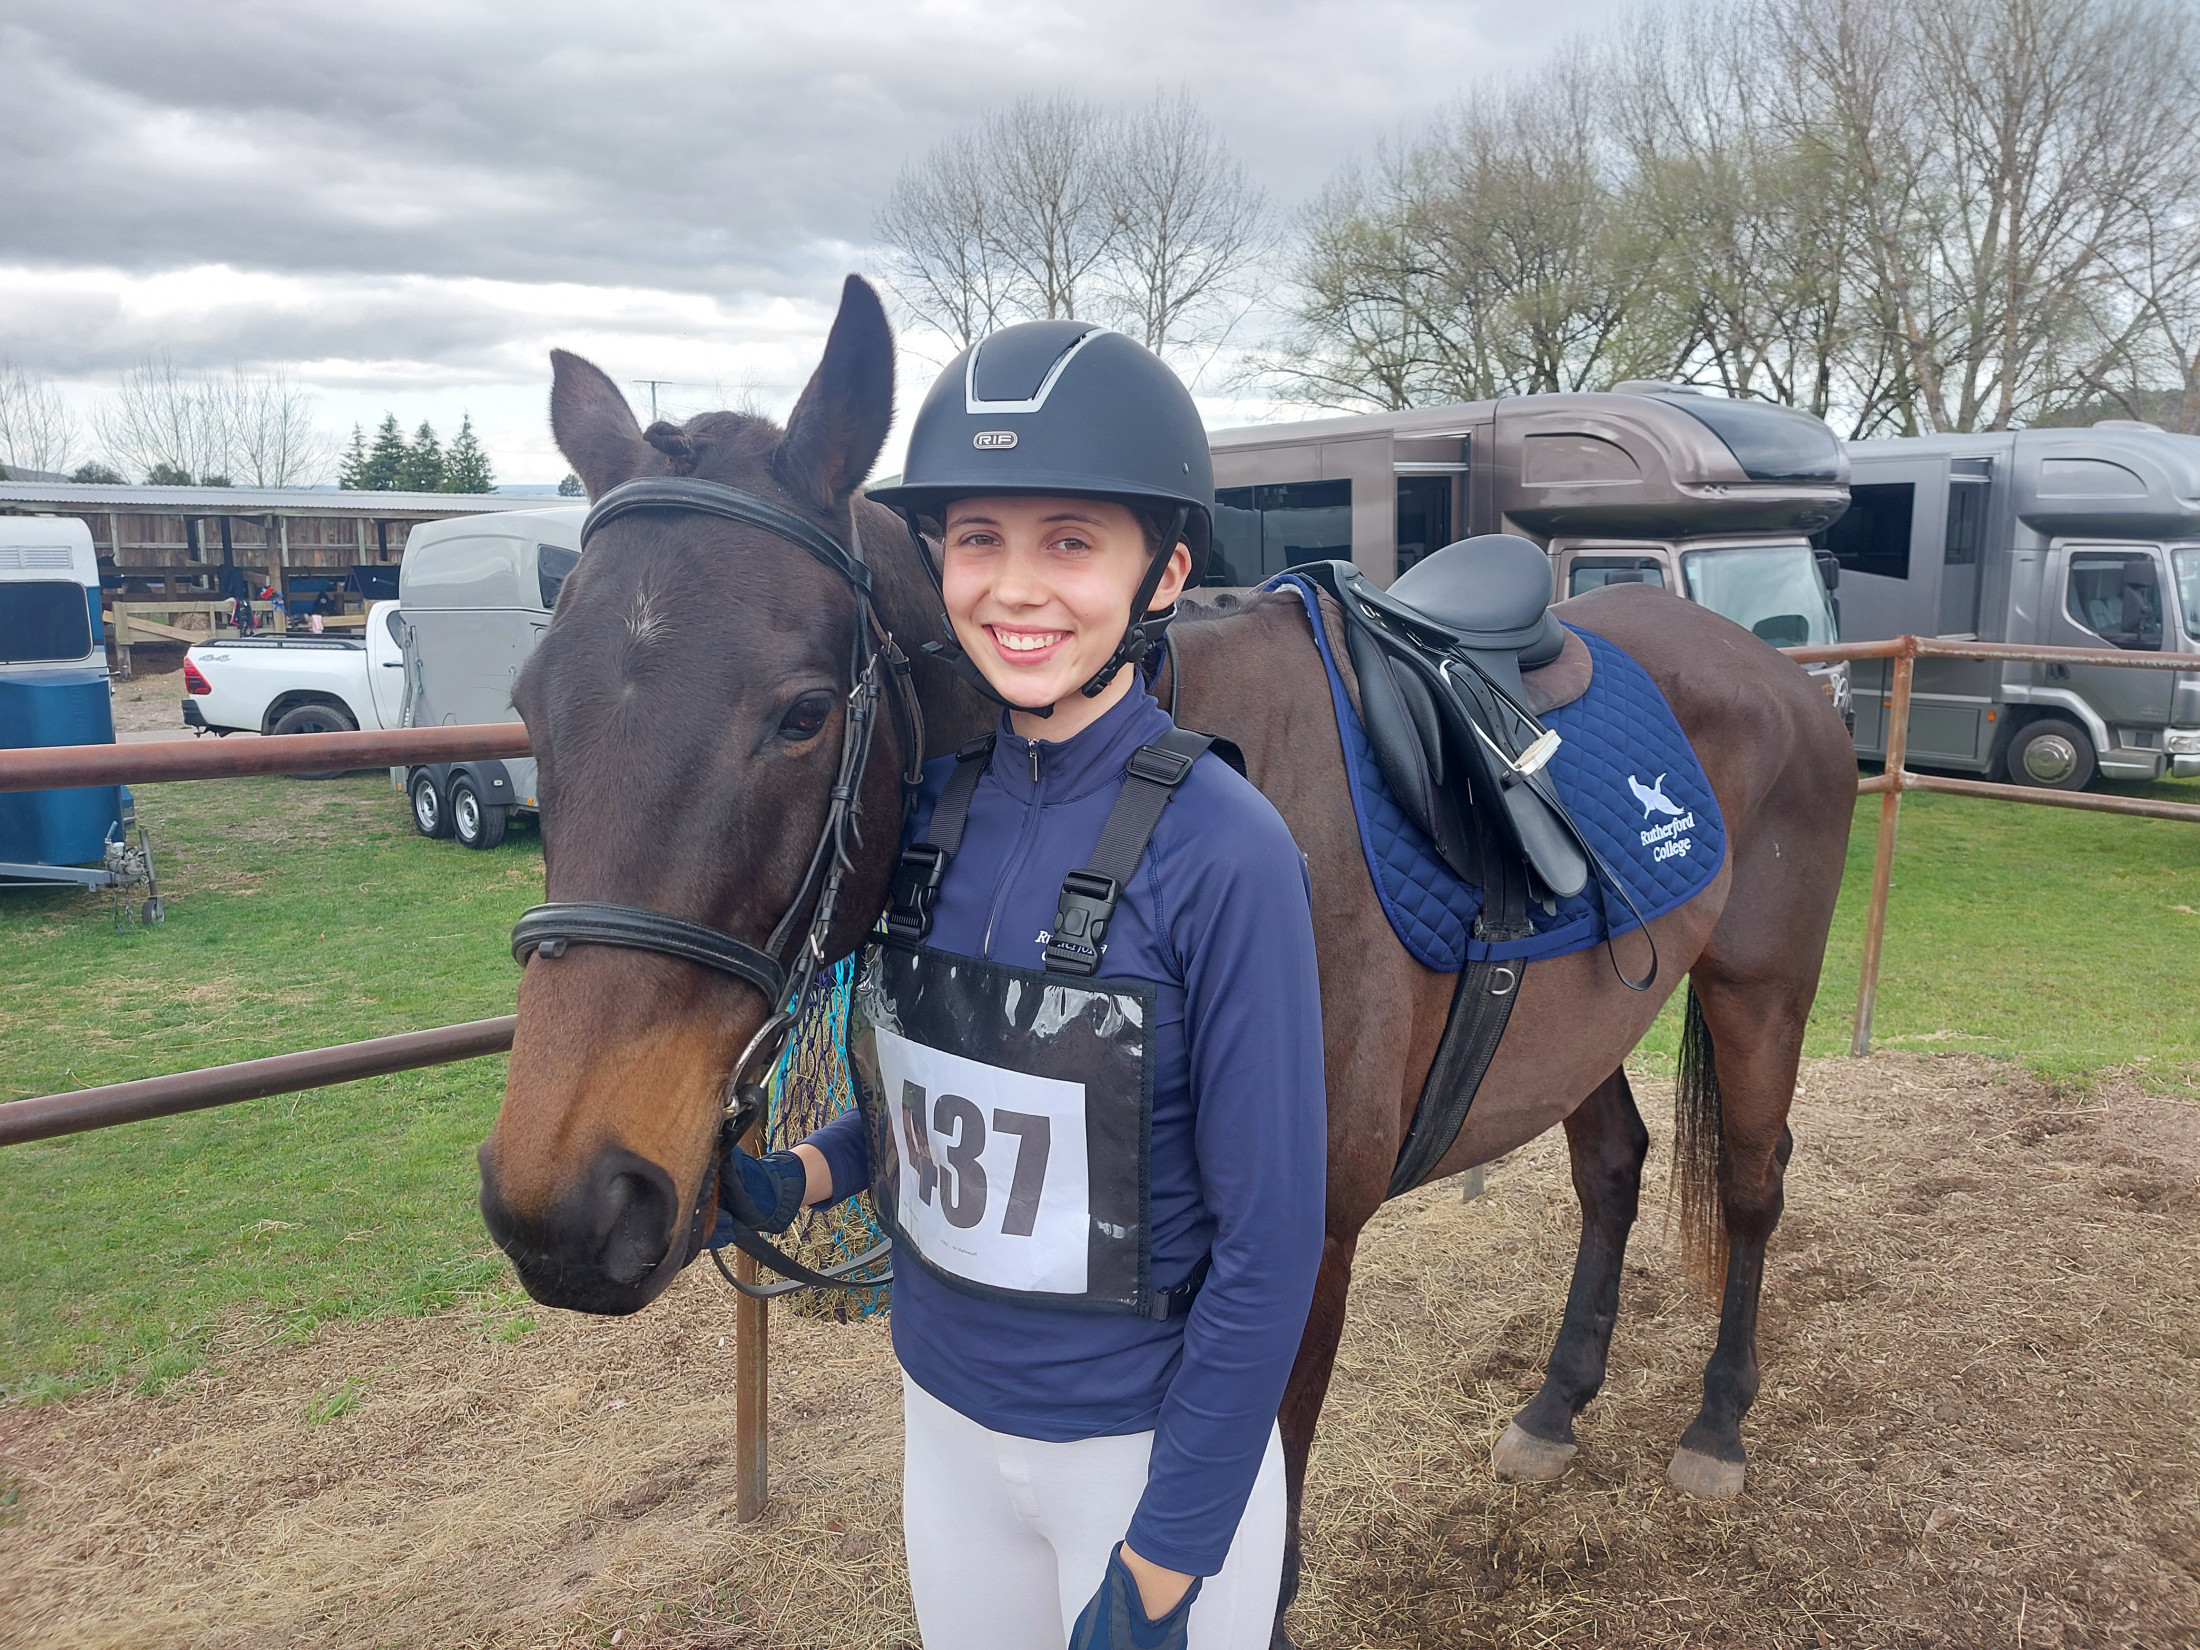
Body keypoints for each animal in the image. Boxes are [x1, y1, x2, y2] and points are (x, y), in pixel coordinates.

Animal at [477, 278, 1856, 1645]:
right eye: (532, 704)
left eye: (804, 713)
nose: (563, 1209)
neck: (1122, 759)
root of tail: (1778, 667)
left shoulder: (1299, 1266)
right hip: (1580, 1027)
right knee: (1613, 1170)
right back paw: (1556, 1405)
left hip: (1760, 992)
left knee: (1750, 1181)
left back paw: (1716, 1426)